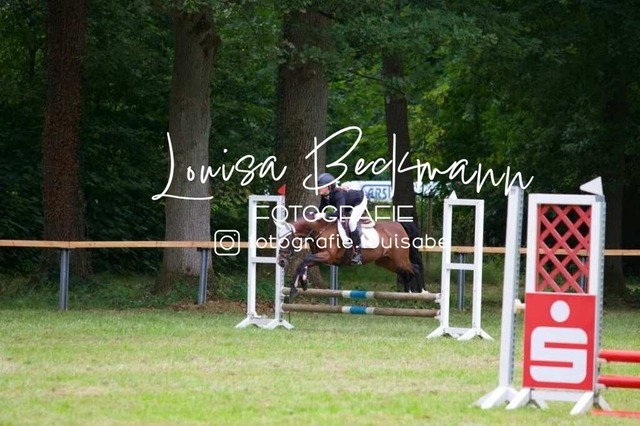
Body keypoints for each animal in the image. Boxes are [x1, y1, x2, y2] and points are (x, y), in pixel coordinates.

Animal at [275, 212, 426, 300]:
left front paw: (297, 287)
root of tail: (399, 224)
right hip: (387, 262)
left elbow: (304, 261)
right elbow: (303, 264)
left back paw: (422, 292)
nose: (281, 261)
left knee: (416, 268)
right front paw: (300, 285)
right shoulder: (320, 258)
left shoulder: (327, 256)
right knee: (405, 271)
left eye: (286, 239)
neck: (320, 230)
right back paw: (408, 293)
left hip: (399, 259)